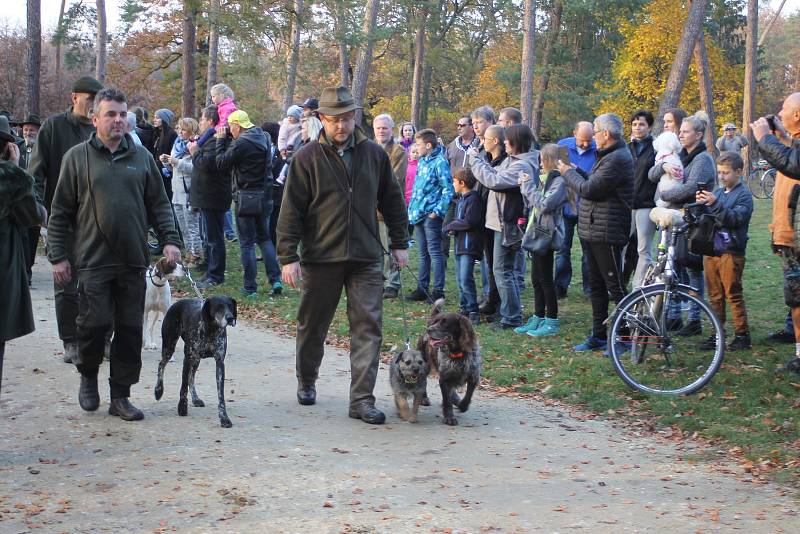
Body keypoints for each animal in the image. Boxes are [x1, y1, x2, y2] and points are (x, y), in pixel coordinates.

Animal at [155, 298, 238, 432]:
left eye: (230, 306)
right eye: (219, 307)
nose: (230, 318)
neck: (210, 330)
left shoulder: (220, 364)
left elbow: (221, 396)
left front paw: (224, 418)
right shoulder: (188, 358)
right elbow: (183, 387)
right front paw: (182, 407)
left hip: (196, 360)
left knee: (191, 377)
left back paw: (195, 398)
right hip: (169, 346)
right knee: (161, 365)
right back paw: (158, 390)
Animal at [418, 300, 482, 430]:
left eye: (445, 323)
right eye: (436, 322)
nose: (429, 329)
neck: (457, 352)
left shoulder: (473, 376)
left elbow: (468, 396)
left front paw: (462, 405)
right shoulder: (444, 379)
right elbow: (447, 400)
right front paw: (449, 417)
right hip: (424, 364)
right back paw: (424, 398)